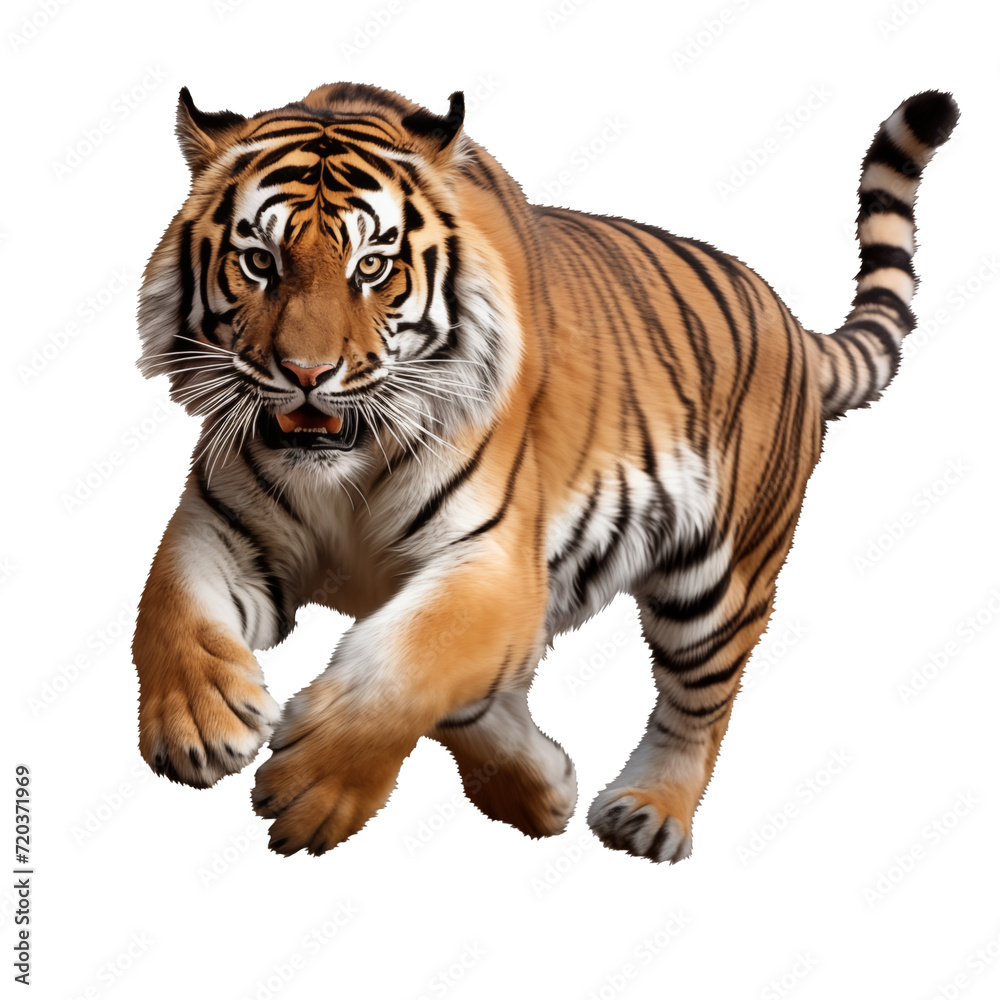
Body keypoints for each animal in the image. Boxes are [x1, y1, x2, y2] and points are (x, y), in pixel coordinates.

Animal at [133, 82, 958, 861]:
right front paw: (198, 722)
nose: (307, 374)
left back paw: (651, 811)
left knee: (702, 704)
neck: (344, 465)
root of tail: (788, 319)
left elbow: (407, 661)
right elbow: (168, 607)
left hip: (722, 580)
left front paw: (317, 784)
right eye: (259, 262)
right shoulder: (223, 522)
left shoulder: (493, 559)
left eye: (372, 266)